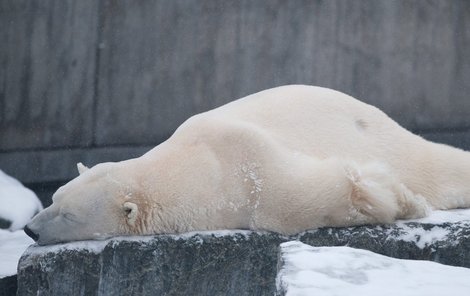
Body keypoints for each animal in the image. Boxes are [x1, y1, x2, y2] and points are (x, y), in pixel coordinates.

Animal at [24, 85, 470, 245]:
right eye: (54, 198)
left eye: (68, 214)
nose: (29, 229)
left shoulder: (247, 163)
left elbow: (305, 195)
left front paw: (400, 200)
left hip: (386, 136)